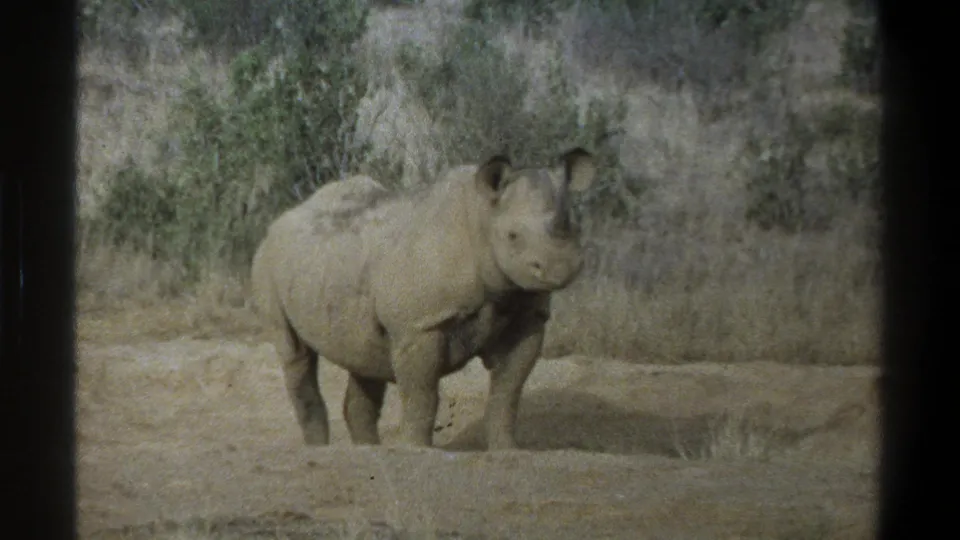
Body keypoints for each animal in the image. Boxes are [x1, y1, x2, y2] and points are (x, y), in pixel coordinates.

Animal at [250, 148, 597, 449]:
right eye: (512, 236)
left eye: (575, 226)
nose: (561, 267)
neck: (482, 218)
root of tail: (279, 220)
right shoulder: (419, 325)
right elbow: (422, 394)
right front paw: (417, 448)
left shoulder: (527, 316)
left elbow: (508, 391)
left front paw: (508, 450)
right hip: (268, 261)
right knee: (295, 353)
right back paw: (319, 448)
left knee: (363, 357)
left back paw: (369, 450)